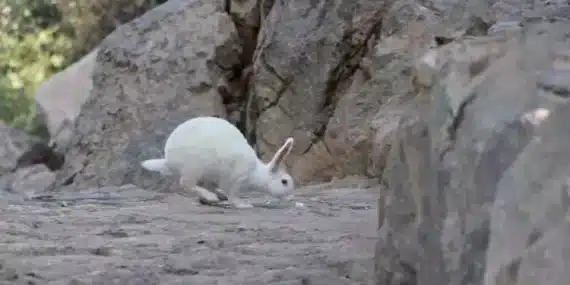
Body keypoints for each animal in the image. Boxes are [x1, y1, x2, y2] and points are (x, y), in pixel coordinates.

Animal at [140, 114, 296, 207]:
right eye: (284, 181)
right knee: (186, 184)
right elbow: (233, 194)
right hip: (194, 168)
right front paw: (243, 205)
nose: (291, 197)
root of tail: (168, 160)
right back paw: (211, 197)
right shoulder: (236, 179)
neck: (257, 173)